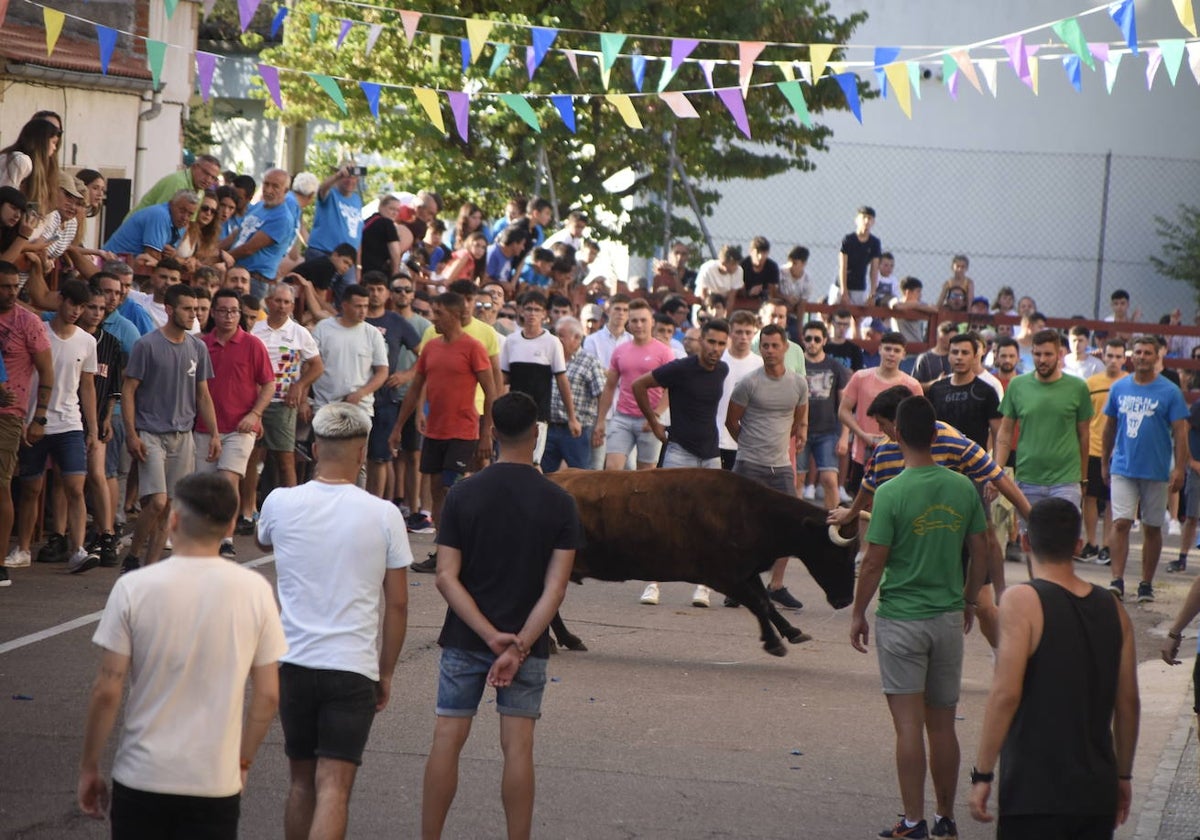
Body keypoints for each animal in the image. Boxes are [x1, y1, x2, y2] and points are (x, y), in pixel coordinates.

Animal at [549, 465, 859, 657]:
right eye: (837, 554)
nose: (845, 600)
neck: (753, 512)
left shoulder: (744, 572)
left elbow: (766, 603)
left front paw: (793, 632)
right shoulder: (723, 576)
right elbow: (758, 603)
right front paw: (773, 643)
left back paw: (565, 640)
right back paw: (562, 641)